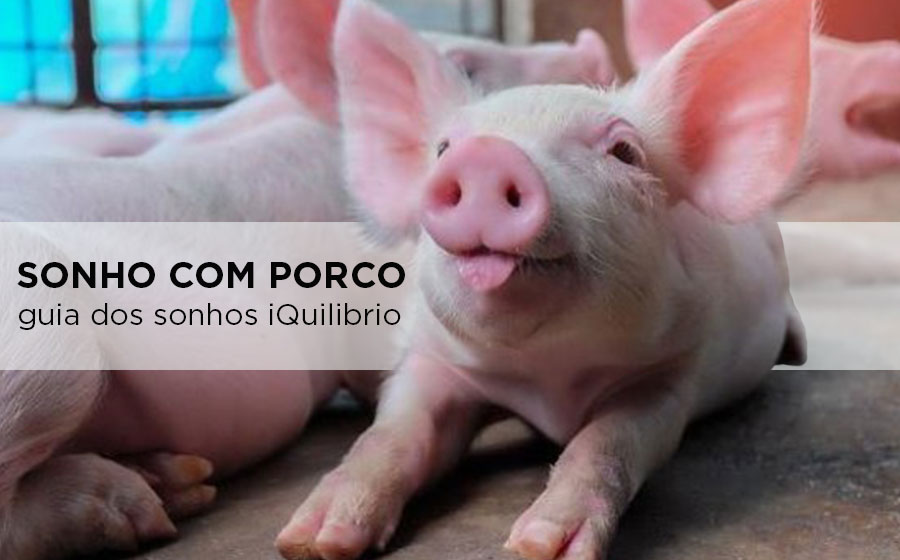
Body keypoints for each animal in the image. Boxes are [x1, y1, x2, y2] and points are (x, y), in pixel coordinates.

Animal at [274, 0, 810, 559]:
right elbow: (392, 431)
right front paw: (312, 540)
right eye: (443, 149)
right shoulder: (433, 357)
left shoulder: (671, 372)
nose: (486, 155)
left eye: (624, 151)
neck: (547, 373)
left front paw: (538, 546)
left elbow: (606, 443)